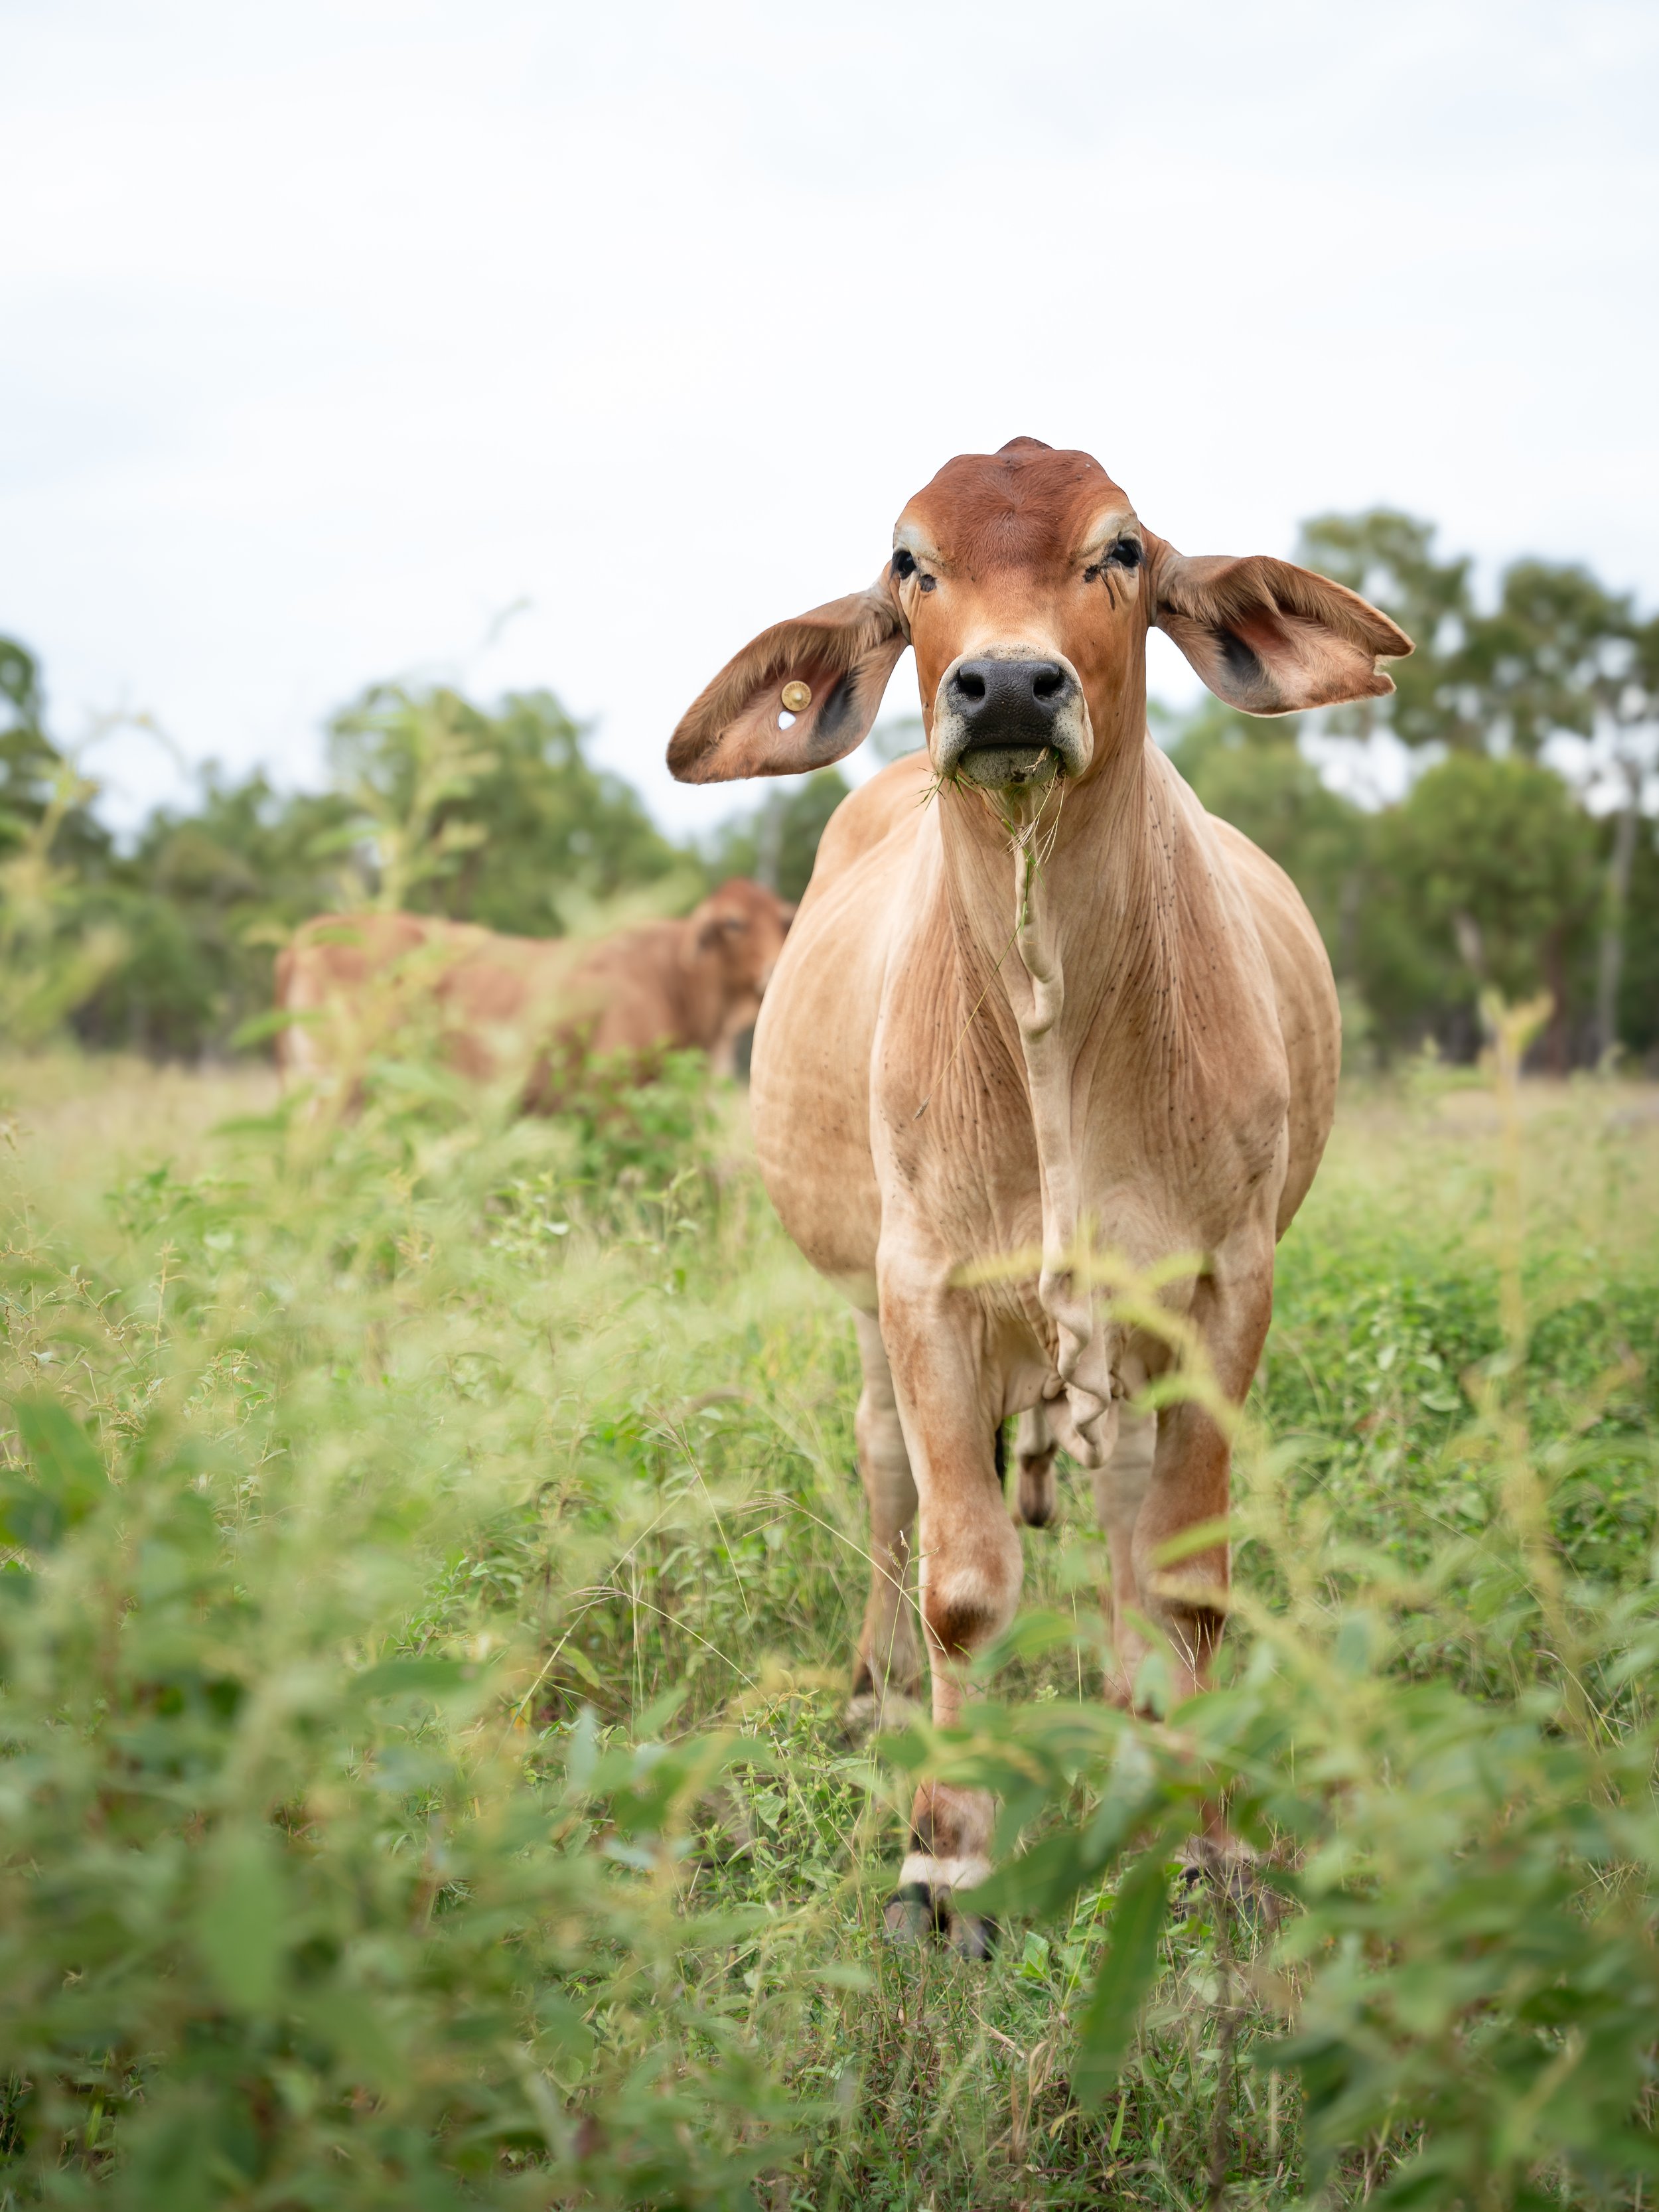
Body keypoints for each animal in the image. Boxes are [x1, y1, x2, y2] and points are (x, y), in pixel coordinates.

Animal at [667, 438, 1410, 1949]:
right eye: (910, 562)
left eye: (1117, 549)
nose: (1006, 685)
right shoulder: (924, 1292)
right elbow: (963, 1585)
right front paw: (942, 1864)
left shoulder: (1221, 1287)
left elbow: (1186, 1578)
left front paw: (1208, 1839)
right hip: (867, 1308)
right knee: (884, 1476)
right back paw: (875, 1692)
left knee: (1122, 1515)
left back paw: (1126, 1708)